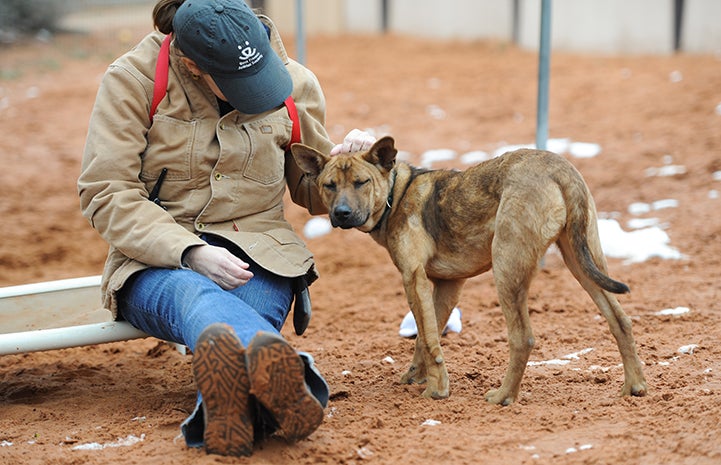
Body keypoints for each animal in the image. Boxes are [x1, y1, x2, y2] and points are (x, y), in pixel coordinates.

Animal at [290, 135, 648, 402]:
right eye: (329, 185)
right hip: (584, 261)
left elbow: (430, 339)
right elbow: (426, 336)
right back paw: (634, 386)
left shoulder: (414, 278)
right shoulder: (447, 285)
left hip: (507, 268)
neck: (397, 194)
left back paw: (503, 396)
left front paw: (437, 390)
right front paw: (416, 377)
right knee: (621, 320)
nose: (341, 213)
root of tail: (560, 168)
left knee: (523, 338)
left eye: (361, 182)